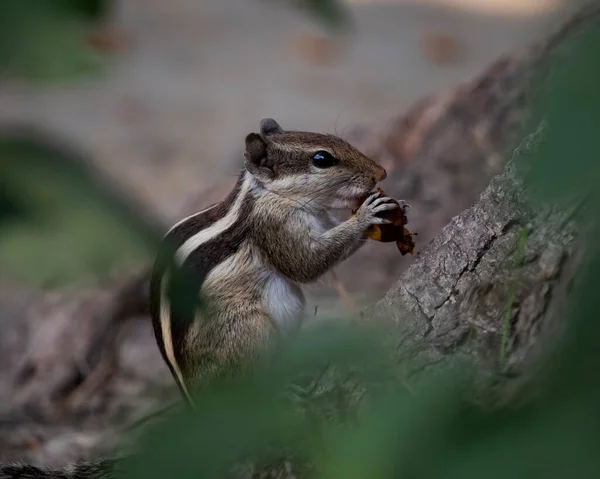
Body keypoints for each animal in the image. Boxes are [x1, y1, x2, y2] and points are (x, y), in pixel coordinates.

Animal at [148, 118, 406, 406]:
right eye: (322, 159)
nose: (381, 172)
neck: (269, 195)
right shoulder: (273, 224)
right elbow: (306, 264)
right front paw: (366, 214)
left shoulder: (320, 220)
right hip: (249, 333)